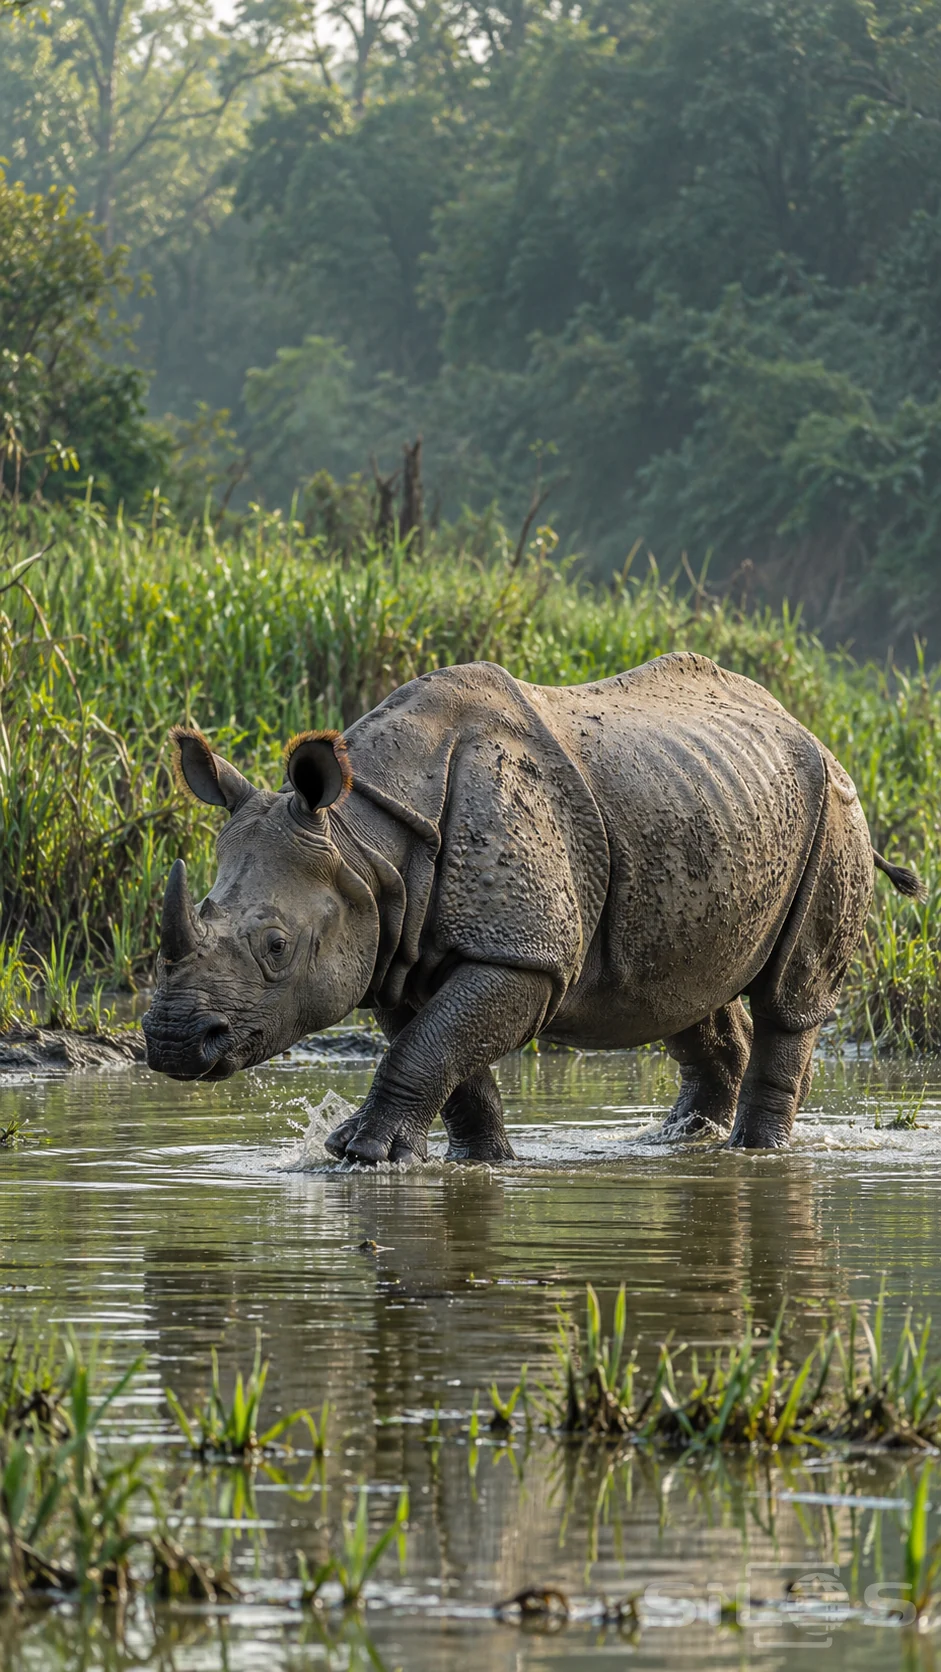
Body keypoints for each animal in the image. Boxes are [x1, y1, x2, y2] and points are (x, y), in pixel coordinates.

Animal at [142, 654, 921, 1157]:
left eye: (276, 946)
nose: (175, 1042)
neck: (363, 839)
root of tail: (806, 729)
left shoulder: (522, 955)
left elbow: (431, 1044)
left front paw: (360, 1153)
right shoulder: (391, 946)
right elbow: (441, 1052)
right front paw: (473, 1160)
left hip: (837, 812)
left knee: (788, 997)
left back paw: (753, 1155)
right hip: (705, 803)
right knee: (676, 991)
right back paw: (676, 1143)